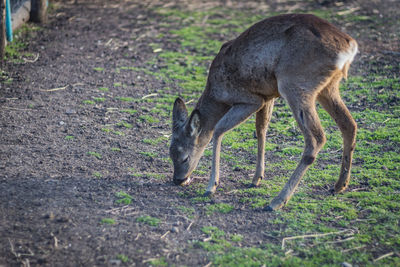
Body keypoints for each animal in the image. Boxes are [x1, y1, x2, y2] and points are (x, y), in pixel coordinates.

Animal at [168, 13, 356, 211]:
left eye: (184, 158)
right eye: (170, 154)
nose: (177, 180)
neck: (217, 94)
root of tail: (349, 47)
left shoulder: (250, 99)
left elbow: (218, 130)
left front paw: (212, 186)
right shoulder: (267, 97)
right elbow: (261, 130)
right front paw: (256, 178)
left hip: (295, 84)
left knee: (316, 138)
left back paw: (277, 201)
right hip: (328, 87)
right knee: (349, 124)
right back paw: (340, 185)